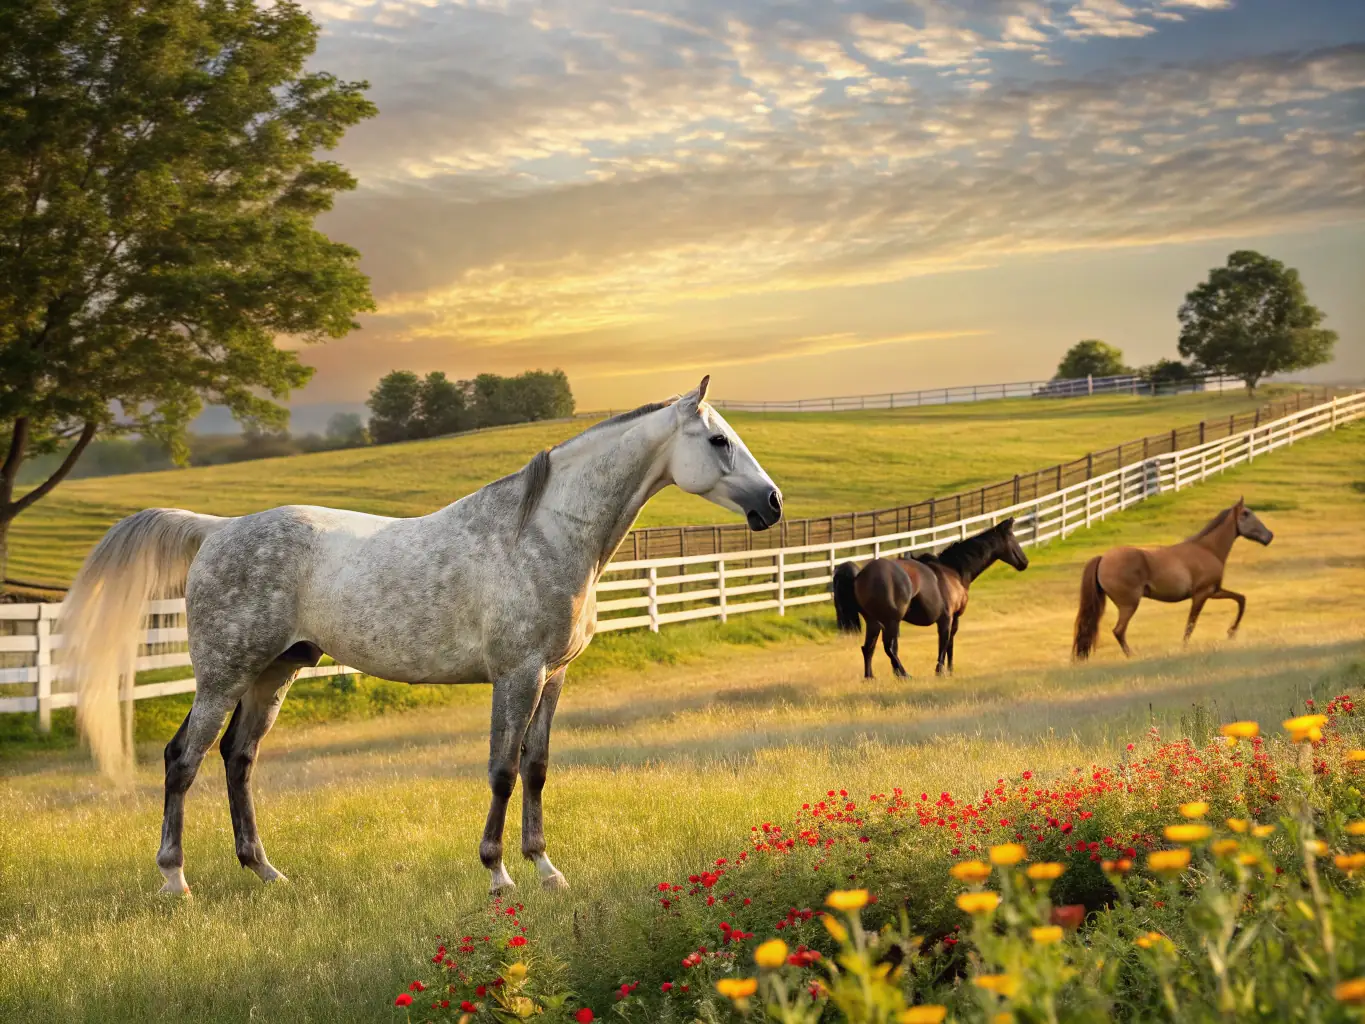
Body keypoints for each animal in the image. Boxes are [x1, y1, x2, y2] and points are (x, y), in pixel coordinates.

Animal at [59, 376, 782, 896]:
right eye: (718, 441)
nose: (771, 504)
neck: (539, 533)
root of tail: (216, 529)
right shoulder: (516, 675)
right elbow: (501, 769)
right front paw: (498, 874)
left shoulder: (553, 677)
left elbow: (537, 768)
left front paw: (546, 869)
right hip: (223, 676)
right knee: (183, 759)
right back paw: (174, 880)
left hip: (274, 674)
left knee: (239, 759)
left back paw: (266, 871)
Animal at [831, 517, 1029, 678]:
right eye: (1012, 537)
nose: (1024, 562)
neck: (953, 571)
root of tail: (860, 575)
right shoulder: (949, 618)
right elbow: (945, 642)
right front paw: (941, 671)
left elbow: (948, 644)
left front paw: (948, 670)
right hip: (891, 621)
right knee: (889, 647)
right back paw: (903, 674)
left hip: (874, 622)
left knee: (868, 648)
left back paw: (870, 677)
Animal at [1072, 497, 1272, 660]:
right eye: (1246, 514)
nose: (1269, 536)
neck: (1207, 549)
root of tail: (1103, 558)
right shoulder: (1201, 595)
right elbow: (1190, 624)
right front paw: (1184, 648)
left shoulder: (1214, 591)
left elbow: (1241, 599)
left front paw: (1231, 632)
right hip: (1129, 605)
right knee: (1119, 631)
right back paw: (1132, 656)